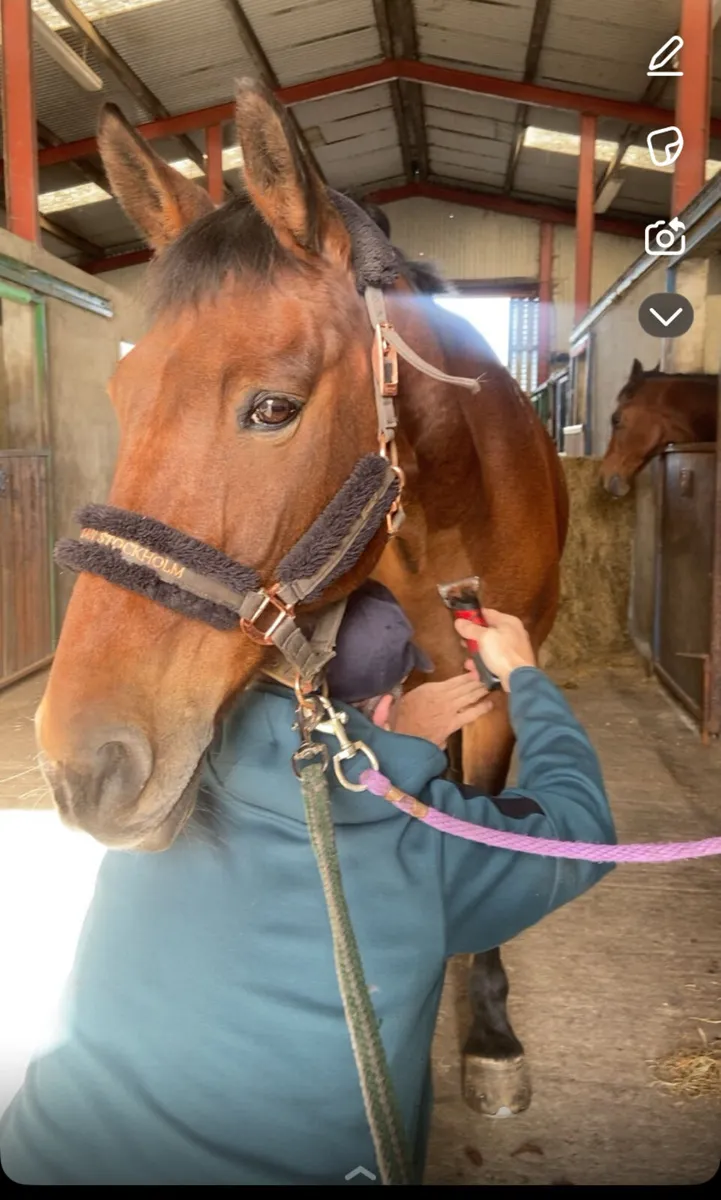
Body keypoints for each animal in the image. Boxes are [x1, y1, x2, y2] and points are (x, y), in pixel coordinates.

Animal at [37, 80, 568, 1120]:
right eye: (122, 393)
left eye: (273, 408)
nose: (81, 767)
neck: (444, 515)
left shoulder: (494, 687)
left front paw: (486, 1023)